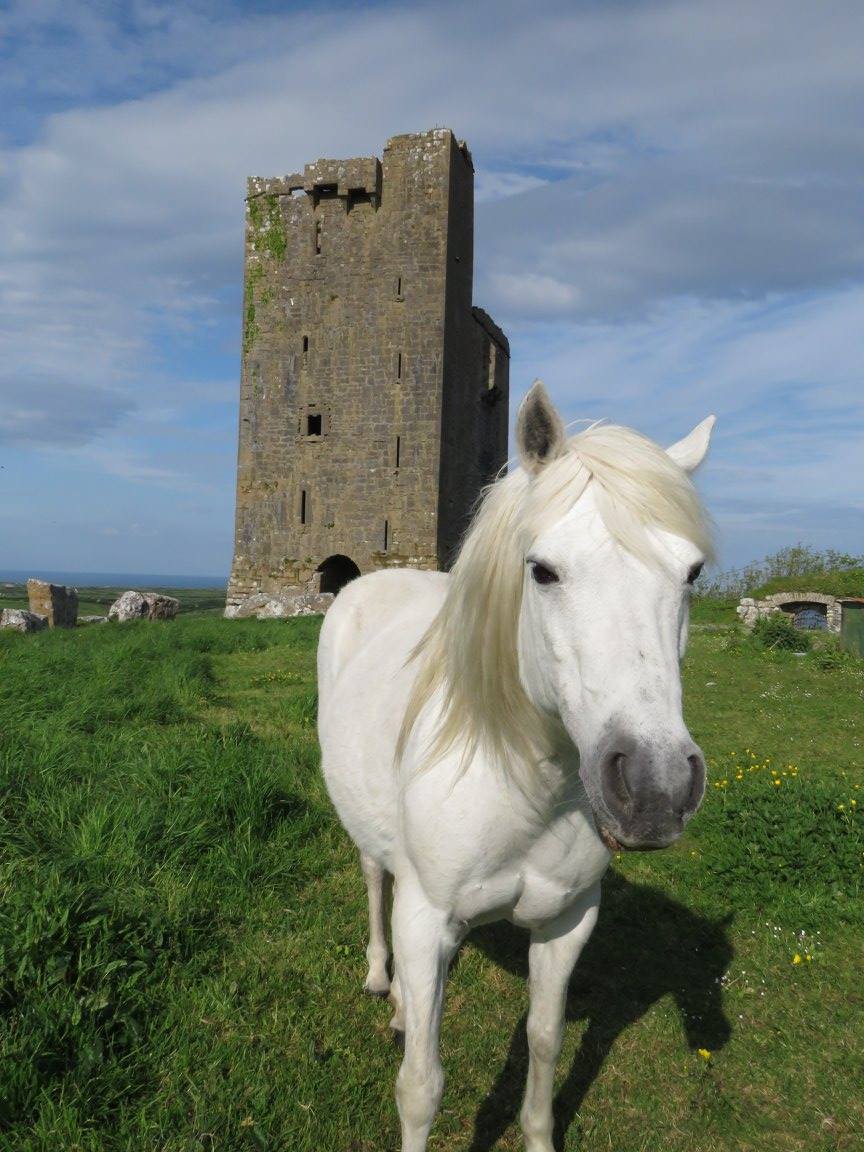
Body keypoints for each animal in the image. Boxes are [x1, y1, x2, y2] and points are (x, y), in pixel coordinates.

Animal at [317, 382, 718, 1147]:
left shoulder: (567, 923)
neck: (524, 789)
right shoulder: (429, 921)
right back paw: (383, 979)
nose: (655, 787)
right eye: (543, 570)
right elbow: (421, 1086)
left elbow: (544, 1041)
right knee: (377, 882)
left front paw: (537, 1134)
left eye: (692, 574)